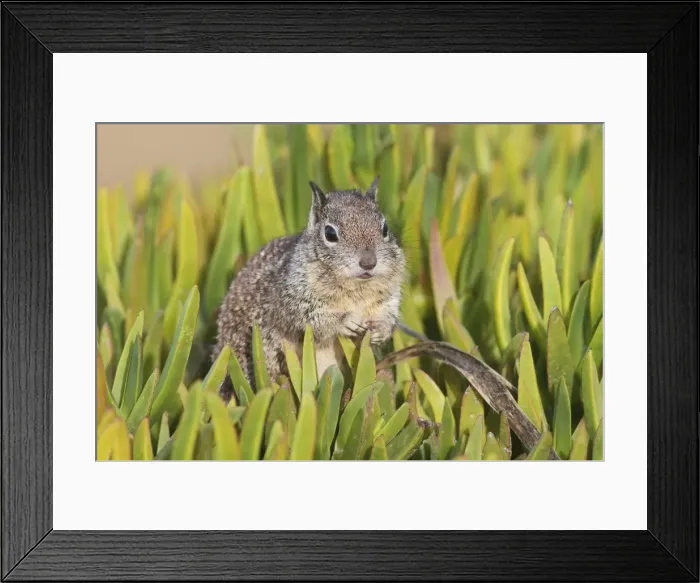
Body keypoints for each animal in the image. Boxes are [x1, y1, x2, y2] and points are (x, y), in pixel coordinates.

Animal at [213, 175, 406, 398]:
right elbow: (310, 320)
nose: (368, 262)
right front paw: (345, 320)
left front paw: (381, 330)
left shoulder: (389, 298)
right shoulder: (290, 302)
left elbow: (388, 315)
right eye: (330, 233)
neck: (356, 290)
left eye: (385, 229)